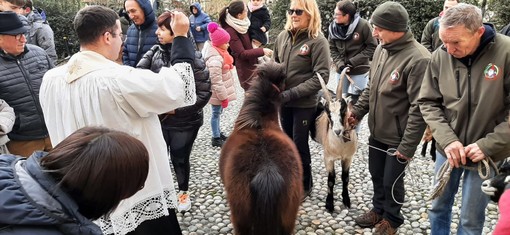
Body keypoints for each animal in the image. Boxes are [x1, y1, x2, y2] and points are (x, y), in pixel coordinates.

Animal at [310, 67, 358, 211]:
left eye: (343, 109)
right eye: (327, 112)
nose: (337, 131)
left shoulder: (348, 158)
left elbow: (345, 178)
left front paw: (346, 200)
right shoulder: (328, 158)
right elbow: (331, 180)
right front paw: (329, 204)